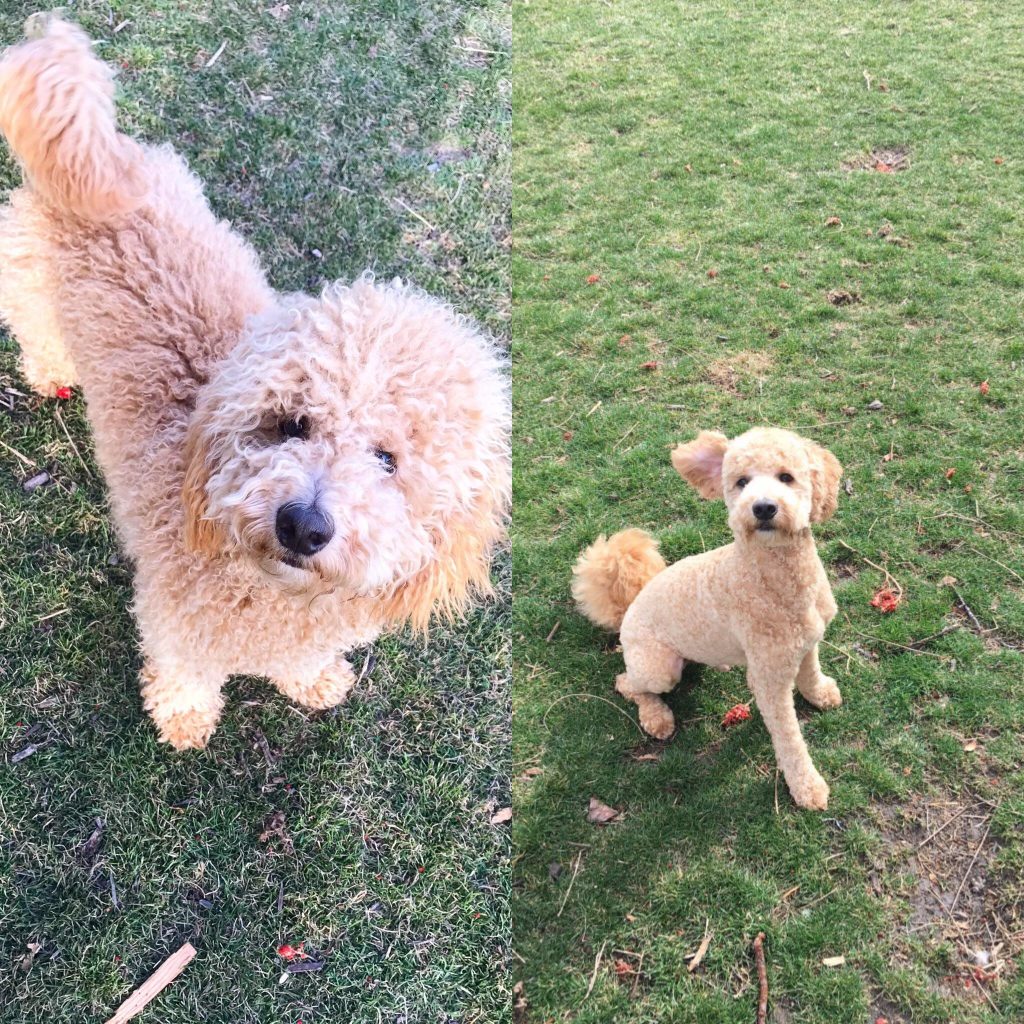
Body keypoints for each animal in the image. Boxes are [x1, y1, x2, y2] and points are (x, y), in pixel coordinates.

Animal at [0, 16, 509, 749]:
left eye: (387, 460)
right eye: (292, 424)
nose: (303, 524)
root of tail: (104, 158)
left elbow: (301, 663)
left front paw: (313, 680)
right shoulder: (175, 620)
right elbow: (184, 671)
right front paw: (184, 719)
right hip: (28, 293)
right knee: (39, 340)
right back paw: (52, 376)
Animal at [573, 423, 843, 806]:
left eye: (786, 477)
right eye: (742, 482)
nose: (763, 507)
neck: (776, 579)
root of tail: (630, 606)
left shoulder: (806, 641)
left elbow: (811, 671)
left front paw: (820, 694)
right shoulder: (769, 677)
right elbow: (789, 738)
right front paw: (807, 787)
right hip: (658, 667)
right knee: (627, 683)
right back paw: (656, 716)